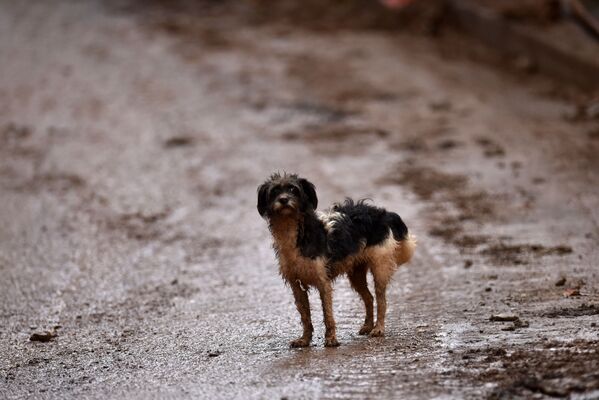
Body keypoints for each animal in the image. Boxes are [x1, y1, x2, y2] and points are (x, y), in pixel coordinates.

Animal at [258, 172, 418, 346]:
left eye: (293, 189)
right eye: (274, 191)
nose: (284, 199)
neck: (294, 232)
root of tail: (383, 213)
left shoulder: (323, 282)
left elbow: (327, 314)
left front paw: (331, 339)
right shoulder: (296, 285)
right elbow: (305, 316)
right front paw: (304, 340)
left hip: (380, 267)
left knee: (381, 300)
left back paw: (378, 329)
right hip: (356, 274)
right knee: (369, 298)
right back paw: (368, 326)